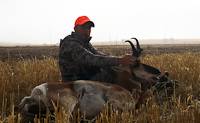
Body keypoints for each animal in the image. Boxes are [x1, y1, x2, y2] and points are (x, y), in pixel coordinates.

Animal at [19, 37, 162, 120]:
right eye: (137, 63)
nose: (159, 72)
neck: (125, 88)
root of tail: (37, 91)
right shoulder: (115, 101)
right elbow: (124, 112)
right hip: (69, 104)